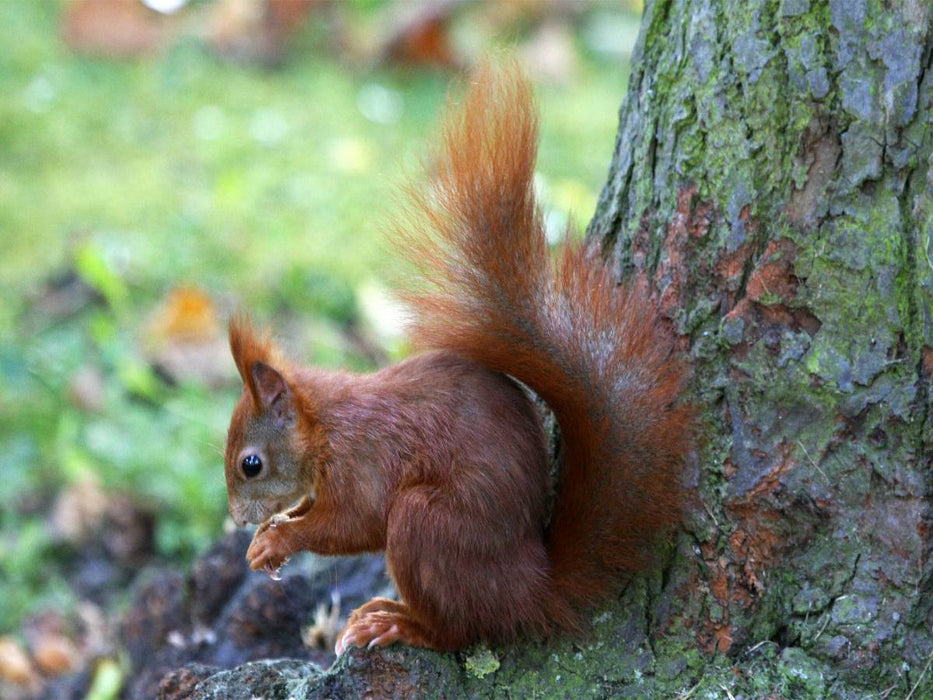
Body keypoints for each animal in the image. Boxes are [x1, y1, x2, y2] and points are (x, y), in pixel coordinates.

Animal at [223, 62, 692, 653]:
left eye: (251, 464)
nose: (238, 520)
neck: (325, 425)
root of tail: (531, 588)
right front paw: (271, 530)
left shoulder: (363, 461)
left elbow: (353, 523)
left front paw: (279, 540)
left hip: (428, 526)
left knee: (458, 630)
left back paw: (397, 622)